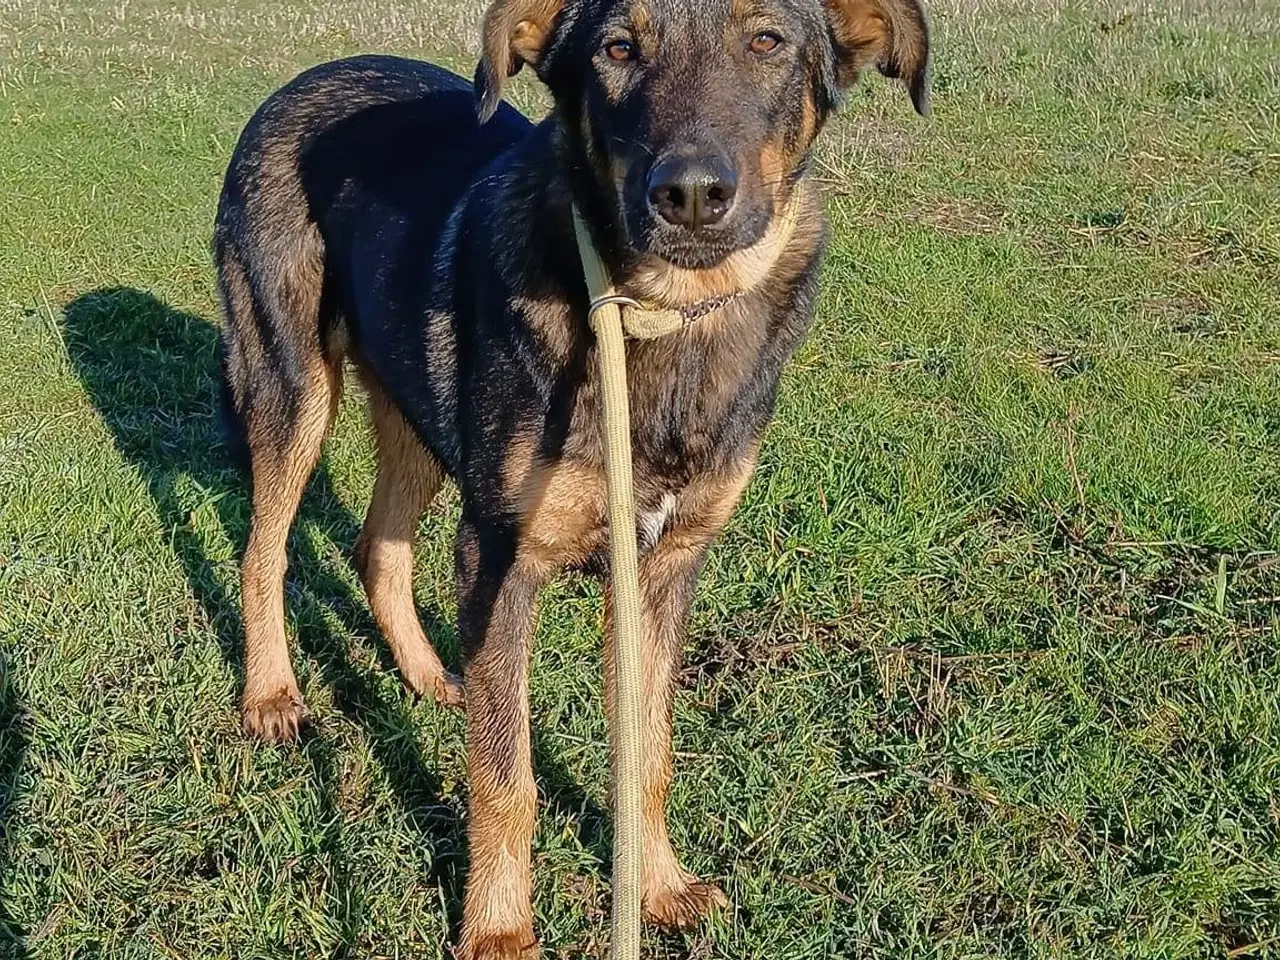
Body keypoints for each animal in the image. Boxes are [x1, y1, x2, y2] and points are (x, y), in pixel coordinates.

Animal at [212, 0, 931, 957]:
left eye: (767, 41)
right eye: (617, 49)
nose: (690, 195)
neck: (659, 319)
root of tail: (302, 80)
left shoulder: (661, 571)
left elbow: (647, 752)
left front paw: (656, 885)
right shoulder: (500, 559)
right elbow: (505, 776)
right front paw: (499, 928)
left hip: (414, 412)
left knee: (377, 548)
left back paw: (429, 673)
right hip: (294, 384)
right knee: (265, 548)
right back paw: (271, 694)